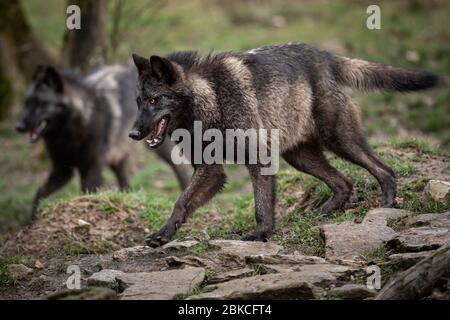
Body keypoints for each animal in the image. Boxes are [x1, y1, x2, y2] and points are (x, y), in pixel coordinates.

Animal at [16, 63, 189, 221]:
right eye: (27, 103)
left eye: (41, 104)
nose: (19, 127)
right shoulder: (62, 170)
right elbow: (39, 192)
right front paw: (31, 221)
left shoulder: (91, 170)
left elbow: (86, 193)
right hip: (116, 158)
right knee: (125, 182)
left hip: (158, 148)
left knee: (179, 167)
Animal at [130, 43, 440, 248]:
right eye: (138, 102)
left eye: (155, 100)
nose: (133, 133)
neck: (212, 97)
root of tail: (321, 54)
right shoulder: (211, 170)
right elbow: (181, 203)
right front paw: (163, 235)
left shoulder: (258, 159)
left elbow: (260, 204)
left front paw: (262, 233)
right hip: (300, 157)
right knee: (343, 183)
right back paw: (321, 212)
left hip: (341, 141)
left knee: (383, 169)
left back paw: (386, 203)